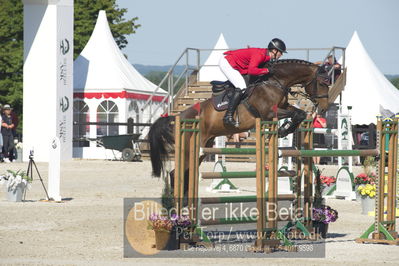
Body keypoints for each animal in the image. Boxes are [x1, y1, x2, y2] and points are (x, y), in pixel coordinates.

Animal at [148, 59, 330, 193]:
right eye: (322, 83)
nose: (324, 108)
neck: (275, 82)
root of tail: (178, 116)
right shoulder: (268, 114)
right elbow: (295, 115)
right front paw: (283, 129)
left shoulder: (283, 107)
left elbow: (300, 114)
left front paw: (286, 129)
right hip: (189, 149)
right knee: (175, 174)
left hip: (202, 148)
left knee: (185, 174)